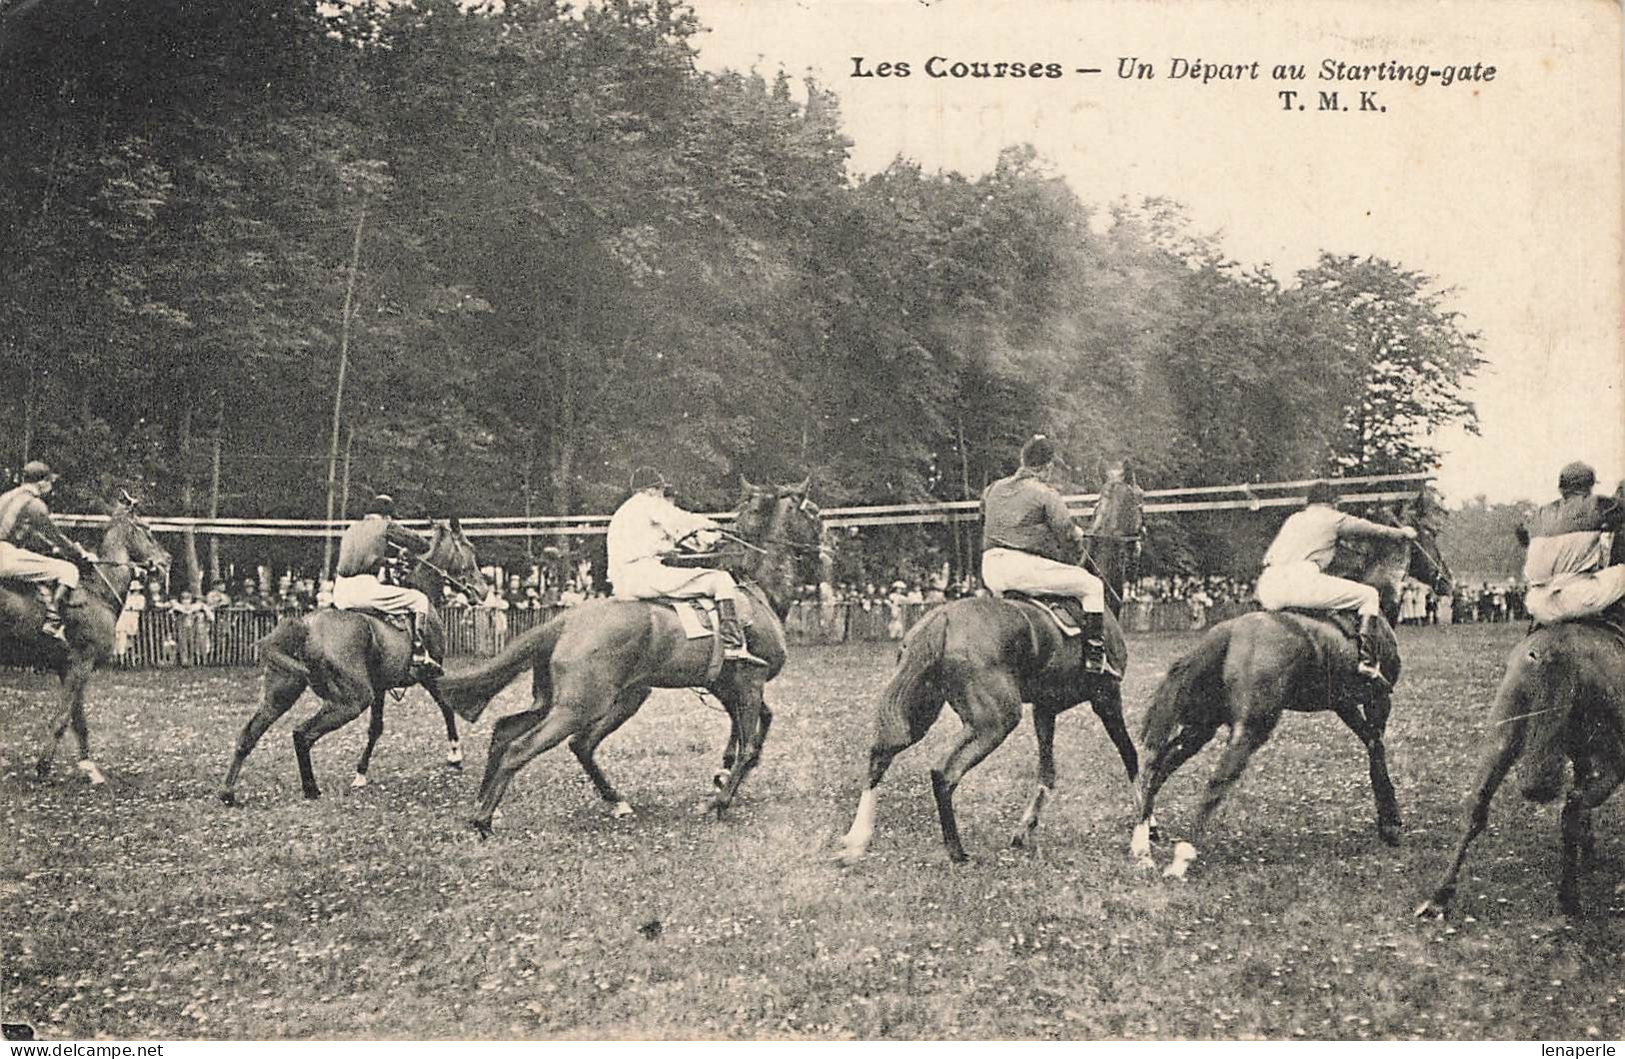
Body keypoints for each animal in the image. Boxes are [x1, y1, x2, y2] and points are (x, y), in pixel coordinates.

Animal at [0, 497, 171, 786]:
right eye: (147, 529)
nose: (166, 561)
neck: (98, 593)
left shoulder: (69, 666)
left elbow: (79, 720)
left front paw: (89, 767)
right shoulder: (82, 663)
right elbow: (62, 718)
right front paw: (43, 766)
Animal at [219, 519, 490, 802]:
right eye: (470, 550)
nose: (482, 591)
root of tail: (305, 627)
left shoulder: (381, 687)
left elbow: (375, 728)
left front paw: (360, 773)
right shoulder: (430, 673)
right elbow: (446, 706)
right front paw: (455, 754)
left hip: (280, 694)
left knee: (249, 734)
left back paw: (228, 792)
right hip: (352, 700)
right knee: (302, 734)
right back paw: (311, 789)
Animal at [438, 480, 825, 838]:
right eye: (815, 513)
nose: (826, 549)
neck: (754, 591)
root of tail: (567, 620)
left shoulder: (729, 686)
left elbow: (758, 726)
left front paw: (723, 773)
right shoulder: (748, 684)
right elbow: (748, 743)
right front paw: (719, 800)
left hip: (592, 699)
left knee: (517, 733)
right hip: (581, 706)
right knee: (525, 747)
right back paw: (484, 819)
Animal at [838, 474, 1144, 864]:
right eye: (1141, 501)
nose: (1140, 544)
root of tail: (942, 618)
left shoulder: (1045, 709)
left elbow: (1047, 773)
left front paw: (1024, 831)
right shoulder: (1107, 697)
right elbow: (1132, 757)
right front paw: (1145, 833)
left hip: (923, 708)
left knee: (881, 753)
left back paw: (857, 839)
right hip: (995, 720)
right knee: (943, 773)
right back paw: (957, 851)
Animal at [1124, 493, 1456, 883]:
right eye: (1430, 536)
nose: (1448, 581)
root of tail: (1228, 631)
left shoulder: (1344, 703)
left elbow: (1370, 742)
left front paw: (1388, 820)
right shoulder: (1377, 698)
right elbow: (1377, 746)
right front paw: (1390, 822)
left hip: (1201, 726)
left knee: (1158, 767)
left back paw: (1142, 846)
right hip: (1253, 725)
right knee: (1217, 780)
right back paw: (1181, 858)